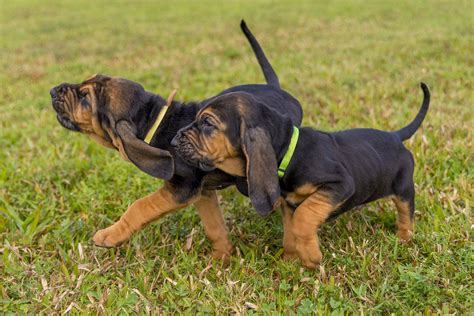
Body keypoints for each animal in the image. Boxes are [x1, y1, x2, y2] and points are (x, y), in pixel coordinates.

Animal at [51, 21, 304, 260]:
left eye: (85, 97)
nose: (53, 90)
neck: (156, 120)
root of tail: (275, 88)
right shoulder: (202, 192)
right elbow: (214, 227)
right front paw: (221, 258)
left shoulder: (182, 188)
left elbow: (140, 206)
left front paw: (109, 235)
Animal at [173, 83, 430, 266]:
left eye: (208, 123)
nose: (174, 141)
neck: (290, 151)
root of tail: (395, 136)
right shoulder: (288, 203)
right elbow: (290, 231)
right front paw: (290, 259)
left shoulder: (340, 184)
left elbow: (304, 218)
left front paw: (311, 258)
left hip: (404, 189)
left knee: (406, 213)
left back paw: (404, 237)